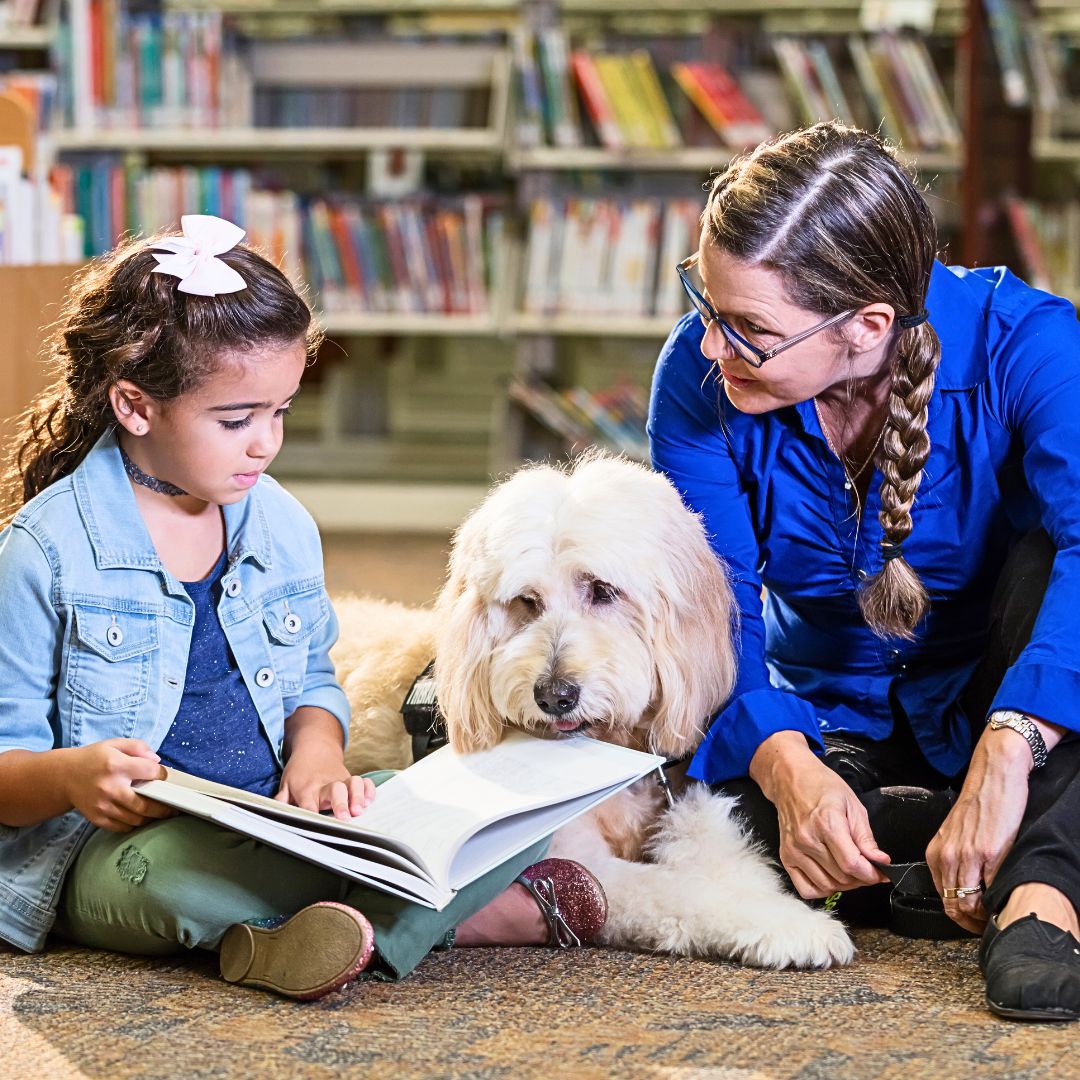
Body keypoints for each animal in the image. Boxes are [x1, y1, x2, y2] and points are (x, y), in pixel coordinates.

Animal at [332, 451, 855, 967]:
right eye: (527, 601)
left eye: (603, 590)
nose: (554, 695)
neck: (612, 743)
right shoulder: (584, 859)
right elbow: (680, 893)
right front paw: (791, 927)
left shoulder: (686, 797)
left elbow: (726, 855)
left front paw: (776, 904)